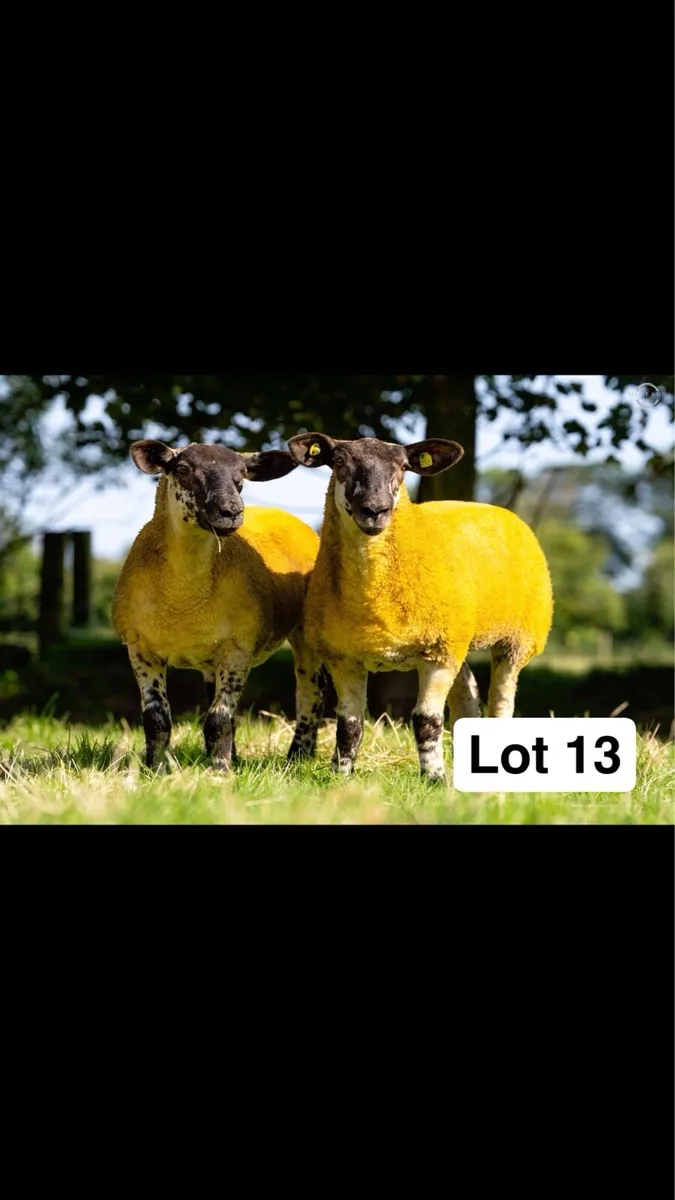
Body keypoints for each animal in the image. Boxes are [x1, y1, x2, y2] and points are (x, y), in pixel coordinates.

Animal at [112, 440, 326, 770]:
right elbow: (156, 719)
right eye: (183, 469)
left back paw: (297, 757)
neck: (182, 598)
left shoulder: (238, 649)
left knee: (310, 696)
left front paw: (220, 771)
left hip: (304, 632)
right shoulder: (140, 649)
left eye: (242, 476)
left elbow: (219, 720)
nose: (231, 512)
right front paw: (155, 768)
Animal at [287, 433, 554, 782]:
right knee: (466, 697)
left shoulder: (437, 656)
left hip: (515, 640)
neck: (372, 599)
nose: (376, 510)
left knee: (501, 702)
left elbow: (427, 721)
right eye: (340, 462)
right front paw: (340, 776)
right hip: (458, 638)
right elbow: (349, 726)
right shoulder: (344, 658)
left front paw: (435, 778)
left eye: (403, 467)